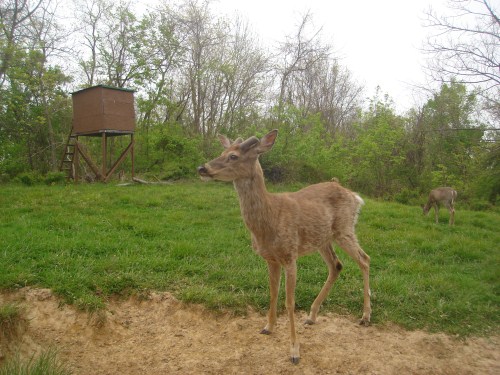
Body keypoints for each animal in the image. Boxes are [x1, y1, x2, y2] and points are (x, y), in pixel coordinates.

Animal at [196, 129, 372, 364]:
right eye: (222, 151)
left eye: (233, 156)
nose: (202, 168)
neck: (269, 219)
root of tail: (354, 196)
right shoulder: (270, 258)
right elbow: (272, 293)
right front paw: (267, 327)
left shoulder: (290, 256)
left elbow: (289, 302)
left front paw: (294, 351)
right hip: (322, 239)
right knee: (337, 265)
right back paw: (312, 316)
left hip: (344, 229)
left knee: (364, 259)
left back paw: (365, 316)